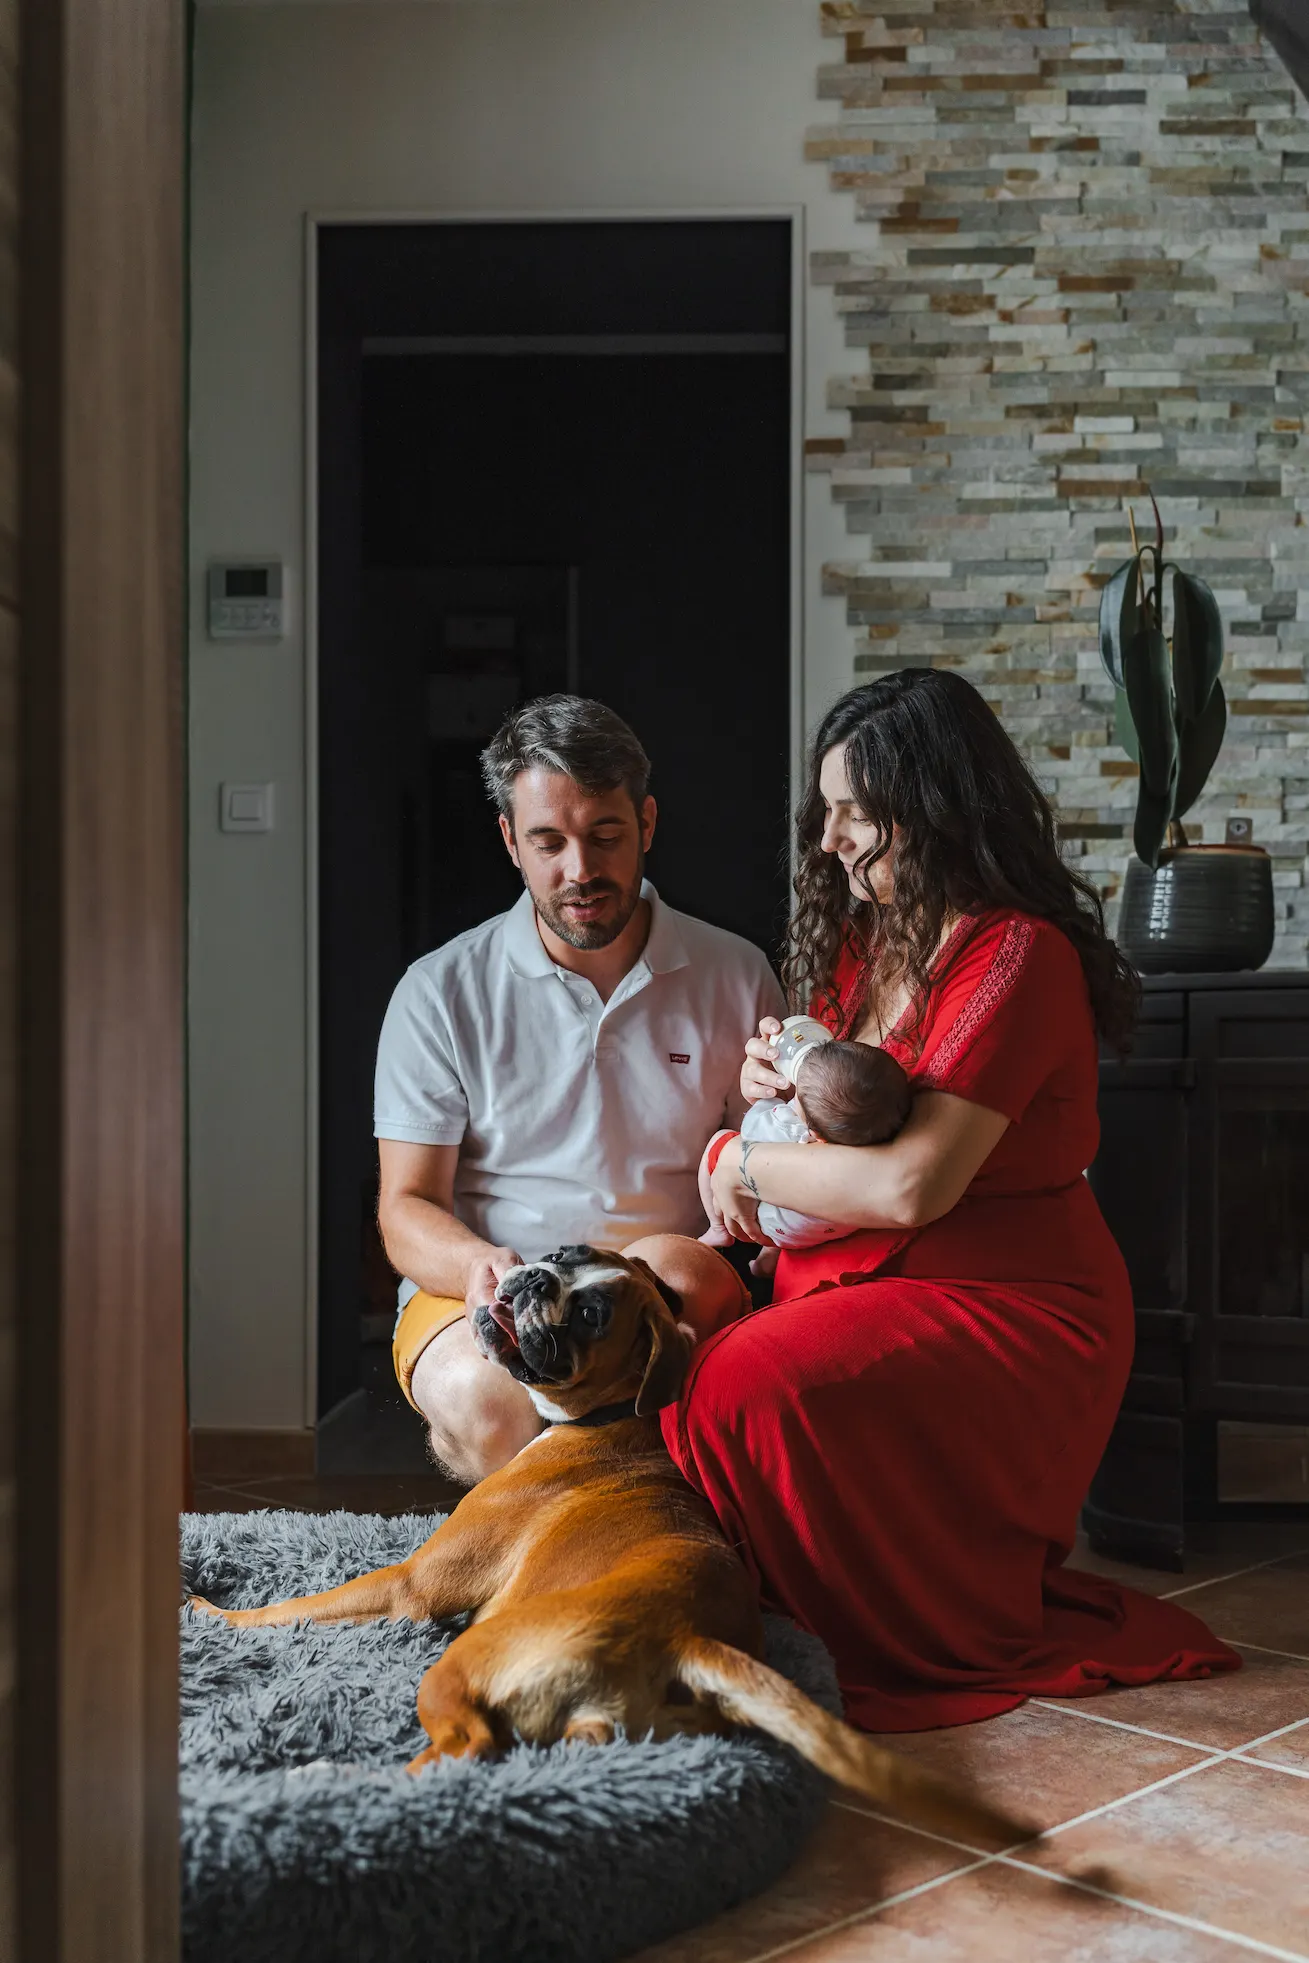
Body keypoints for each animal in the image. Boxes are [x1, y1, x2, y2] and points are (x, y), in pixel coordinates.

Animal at [192, 1248, 1036, 1845]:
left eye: (593, 1313)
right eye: (566, 1253)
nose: (533, 1274)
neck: (606, 1417)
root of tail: (682, 1632)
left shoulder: (411, 1584)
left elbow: (296, 1607)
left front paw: (210, 1612)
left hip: (455, 1666)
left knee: (463, 1750)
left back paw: (319, 1780)